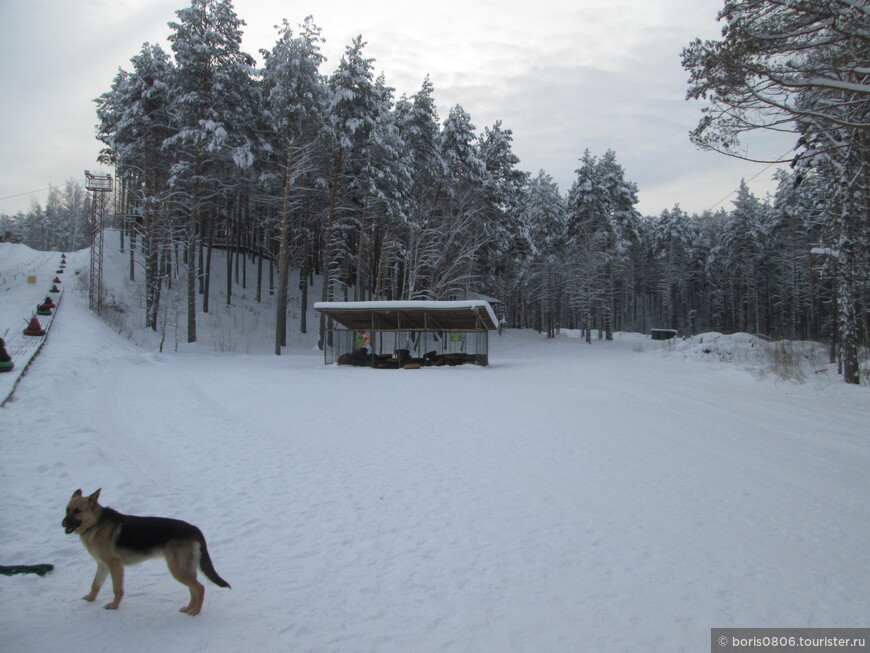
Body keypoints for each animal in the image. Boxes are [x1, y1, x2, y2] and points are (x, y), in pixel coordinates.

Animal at [63, 486, 230, 612]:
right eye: (67, 509)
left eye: (78, 511)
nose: (62, 523)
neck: (96, 523)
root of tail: (195, 529)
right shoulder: (102, 565)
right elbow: (95, 584)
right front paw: (90, 598)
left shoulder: (115, 565)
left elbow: (117, 589)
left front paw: (114, 606)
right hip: (184, 569)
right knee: (193, 589)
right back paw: (189, 609)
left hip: (178, 569)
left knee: (200, 588)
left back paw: (195, 612)